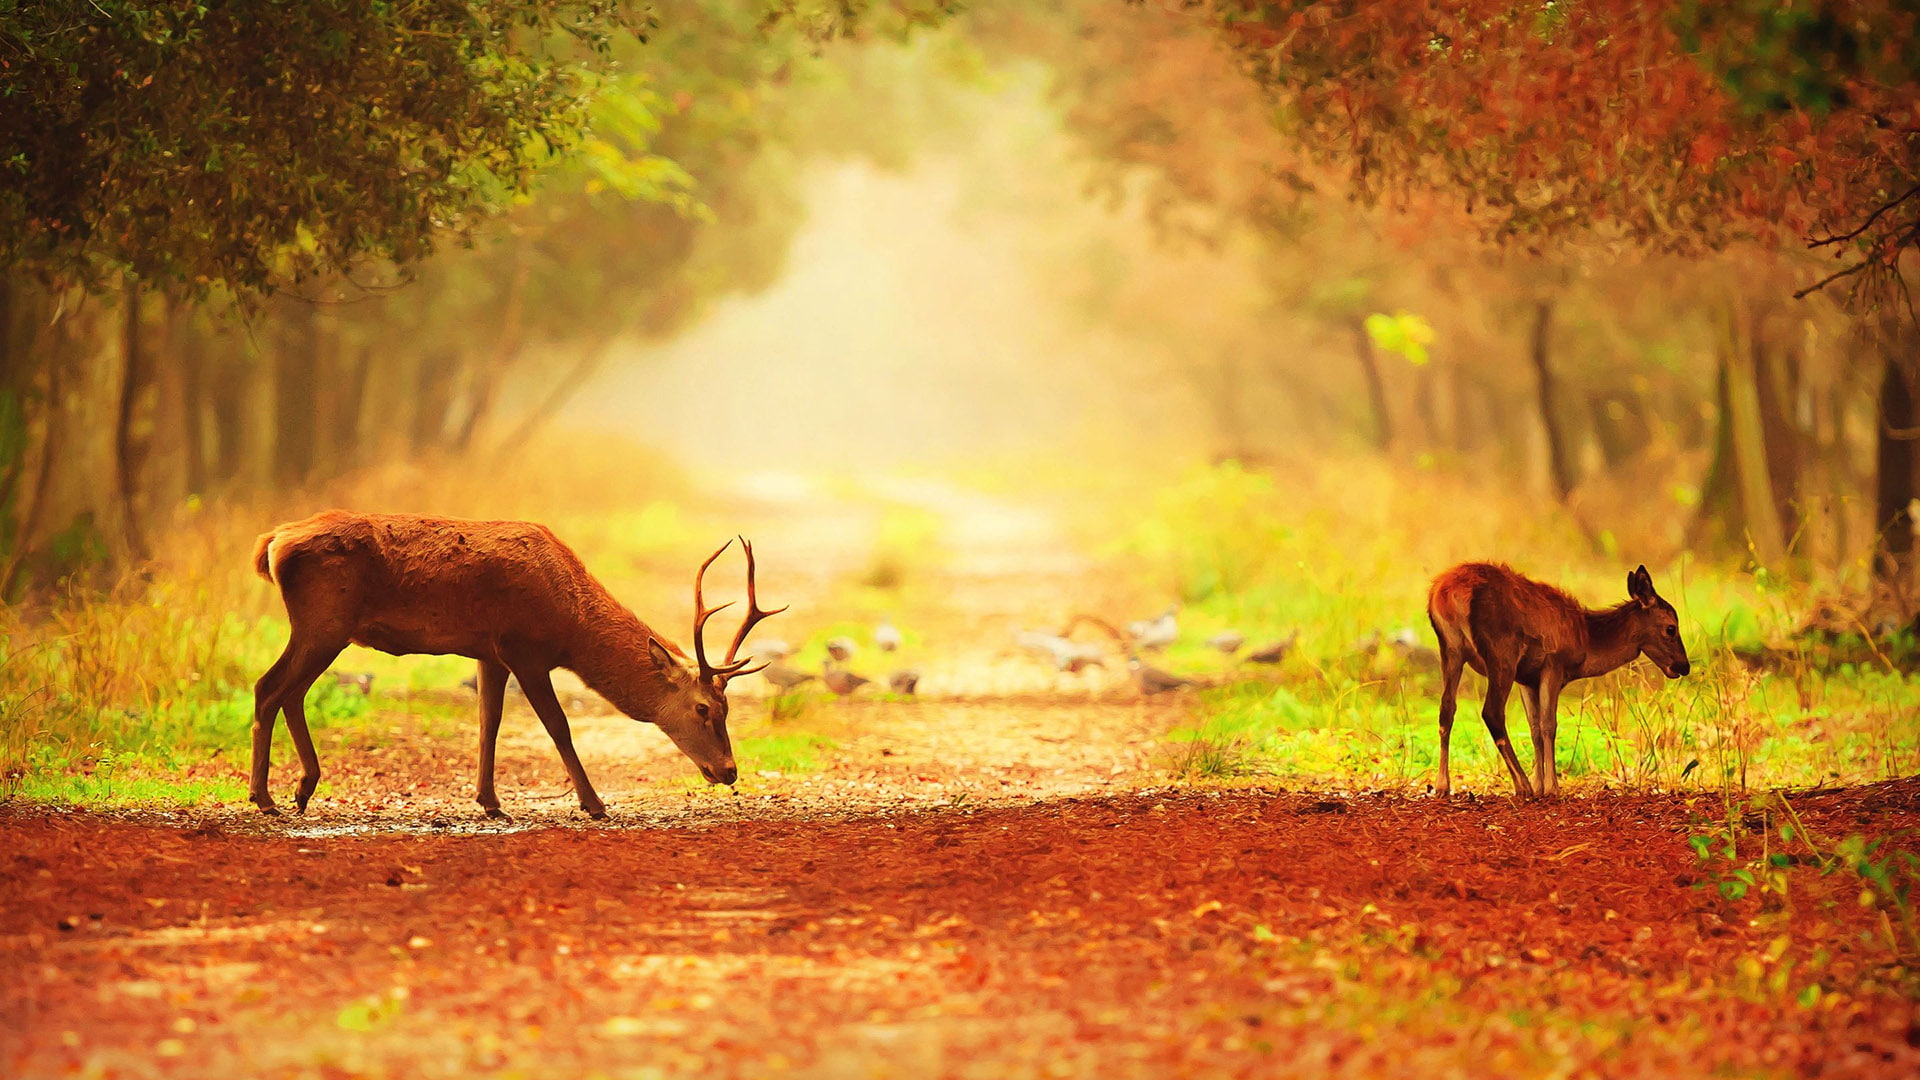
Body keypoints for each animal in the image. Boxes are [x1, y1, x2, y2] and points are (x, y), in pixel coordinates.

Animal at [247, 511, 784, 819]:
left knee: (285, 690)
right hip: (325, 620)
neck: (570, 627)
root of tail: (272, 542)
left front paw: (490, 803)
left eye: (729, 710)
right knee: (270, 687)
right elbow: (558, 726)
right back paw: (266, 797)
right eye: (703, 709)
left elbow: (489, 722)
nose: (729, 770)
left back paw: (301, 789)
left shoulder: (489, 652)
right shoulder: (525, 648)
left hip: (322, 627)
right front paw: (594, 804)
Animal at [1427, 562, 1690, 800]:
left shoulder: (1527, 679)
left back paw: (1442, 786)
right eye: (1671, 628)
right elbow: (1548, 725)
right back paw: (1522, 785)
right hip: (1502, 652)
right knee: (1492, 712)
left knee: (1446, 709)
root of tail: (1447, 594)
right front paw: (1551, 788)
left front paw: (1540, 784)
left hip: (1450, 649)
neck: (1585, 640)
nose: (1684, 666)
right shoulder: (1553, 664)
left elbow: (1534, 728)